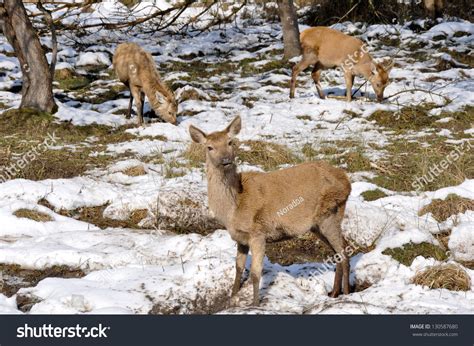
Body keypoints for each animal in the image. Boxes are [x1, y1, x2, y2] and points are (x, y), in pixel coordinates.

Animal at [189, 117, 352, 306]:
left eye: (230, 142)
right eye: (209, 147)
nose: (226, 160)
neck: (233, 209)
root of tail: (347, 181)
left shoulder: (258, 233)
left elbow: (255, 273)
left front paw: (255, 304)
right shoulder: (240, 238)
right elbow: (238, 267)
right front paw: (232, 296)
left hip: (331, 213)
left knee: (344, 252)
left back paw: (346, 293)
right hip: (318, 225)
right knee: (338, 252)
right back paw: (334, 293)